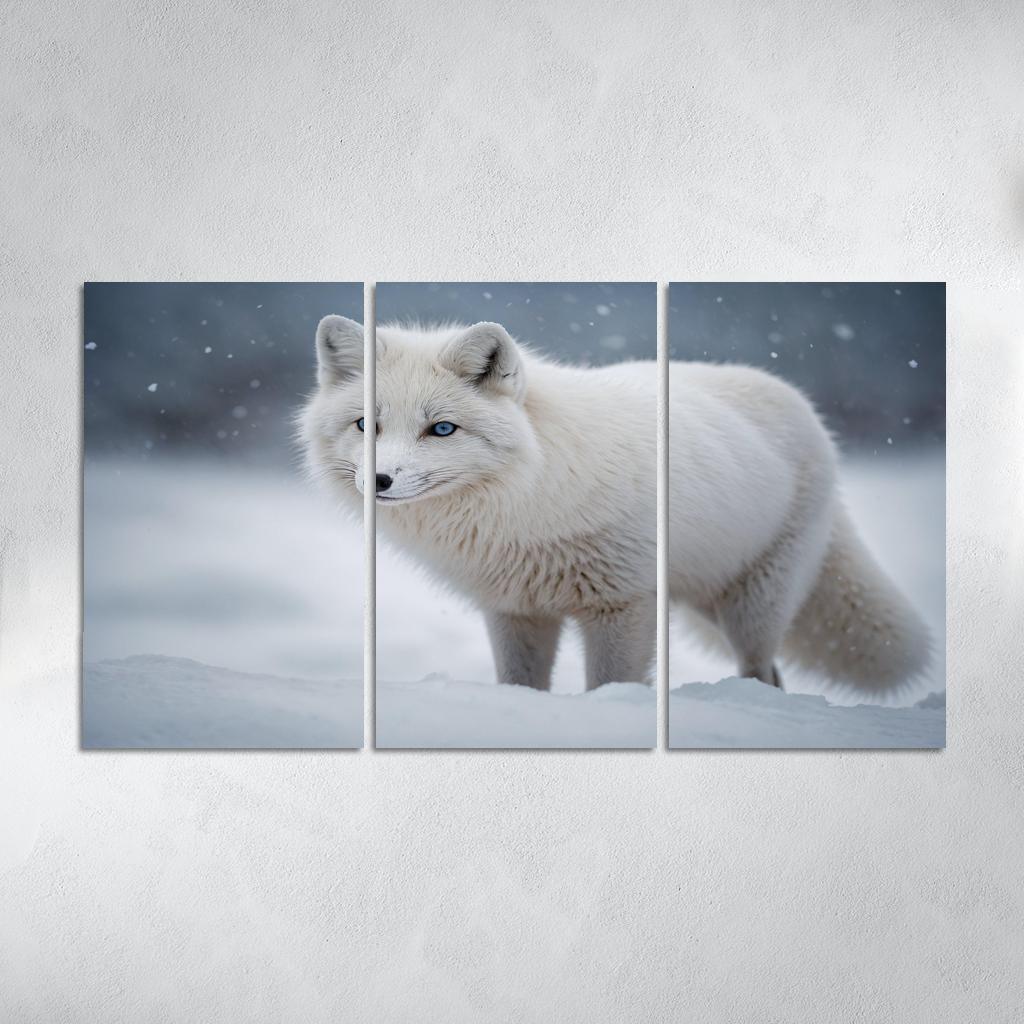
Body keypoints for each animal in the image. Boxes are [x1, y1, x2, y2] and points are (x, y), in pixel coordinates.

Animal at [300, 315, 929, 695]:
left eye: (442, 429)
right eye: (366, 424)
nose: (379, 480)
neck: (522, 508)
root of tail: (800, 402)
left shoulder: (622, 605)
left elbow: (610, 685)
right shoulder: (515, 609)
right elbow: (521, 686)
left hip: (752, 606)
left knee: (763, 672)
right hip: (704, 603)